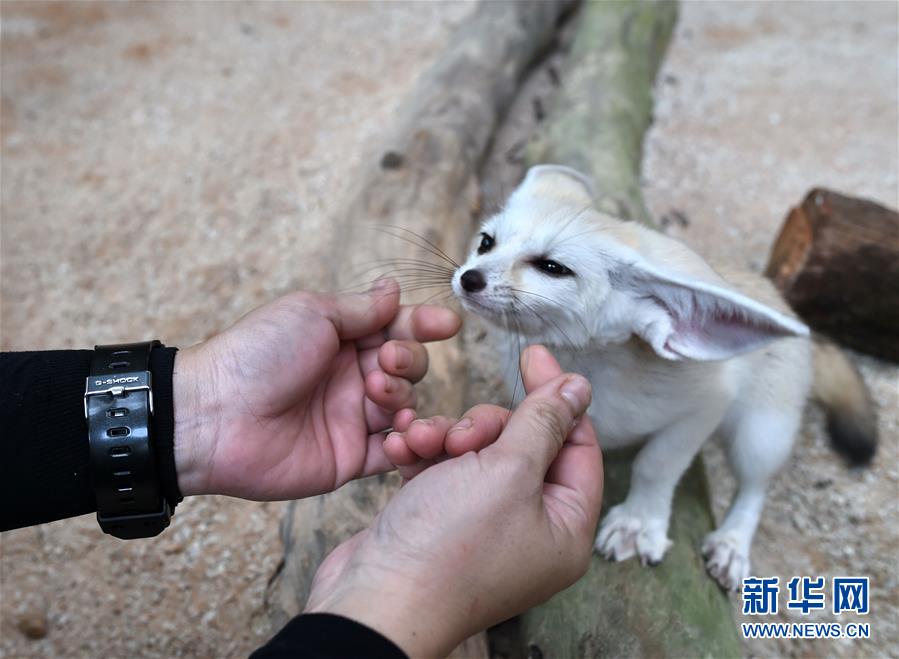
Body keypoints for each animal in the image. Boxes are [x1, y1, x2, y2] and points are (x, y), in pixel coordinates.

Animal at [454, 166, 876, 592]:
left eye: (553, 267)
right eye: (486, 242)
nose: (468, 278)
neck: (590, 367)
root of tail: (786, 306)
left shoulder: (706, 405)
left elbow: (654, 464)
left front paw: (637, 523)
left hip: (761, 434)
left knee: (755, 487)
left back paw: (732, 542)